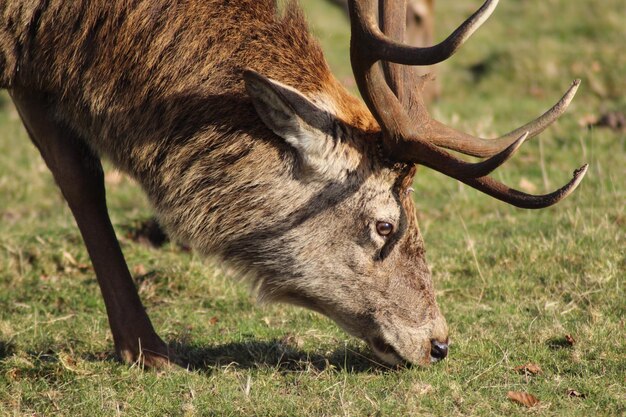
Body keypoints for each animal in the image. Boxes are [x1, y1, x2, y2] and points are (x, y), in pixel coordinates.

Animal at [0, 0, 584, 366]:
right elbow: (83, 178)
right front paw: (152, 352)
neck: (53, 22)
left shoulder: (28, 69)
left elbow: (78, 176)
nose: (438, 343)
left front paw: (139, 347)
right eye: (384, 225)